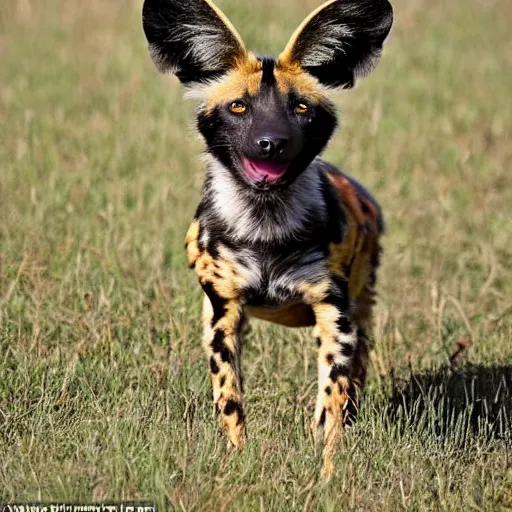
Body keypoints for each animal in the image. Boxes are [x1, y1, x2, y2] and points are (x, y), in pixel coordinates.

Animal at [142, 0, 394, 476]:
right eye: (239, 107)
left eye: (300, 108)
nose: (271, 143)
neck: (265, 228)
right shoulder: (223, 315)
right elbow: (230, 399)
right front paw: (236, 461)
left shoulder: (334, 317)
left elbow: (331, 406)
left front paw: (326, 472)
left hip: (359, 312)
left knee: (352, 382)